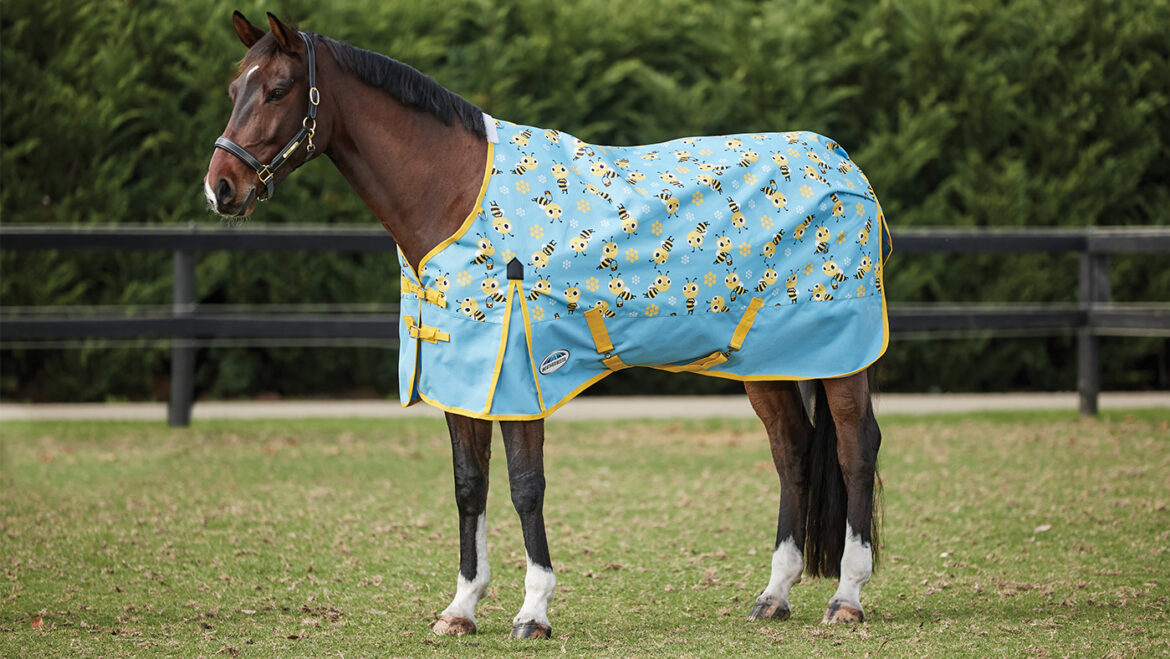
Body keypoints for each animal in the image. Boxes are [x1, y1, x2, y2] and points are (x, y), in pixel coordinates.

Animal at [205, 11, 886, 639]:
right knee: (792, 450)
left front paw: (533, 611)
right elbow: (470, 486)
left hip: (841, 358)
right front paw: (461, 608)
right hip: (766, 361)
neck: (456, 195)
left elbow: (525, 487)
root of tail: (846, 168)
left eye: (279, 89)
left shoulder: (518, 380)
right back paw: (774, 595)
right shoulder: (465, 378)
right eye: (235, 85)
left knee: (855, 447)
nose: (221, 187)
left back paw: (846, 598)